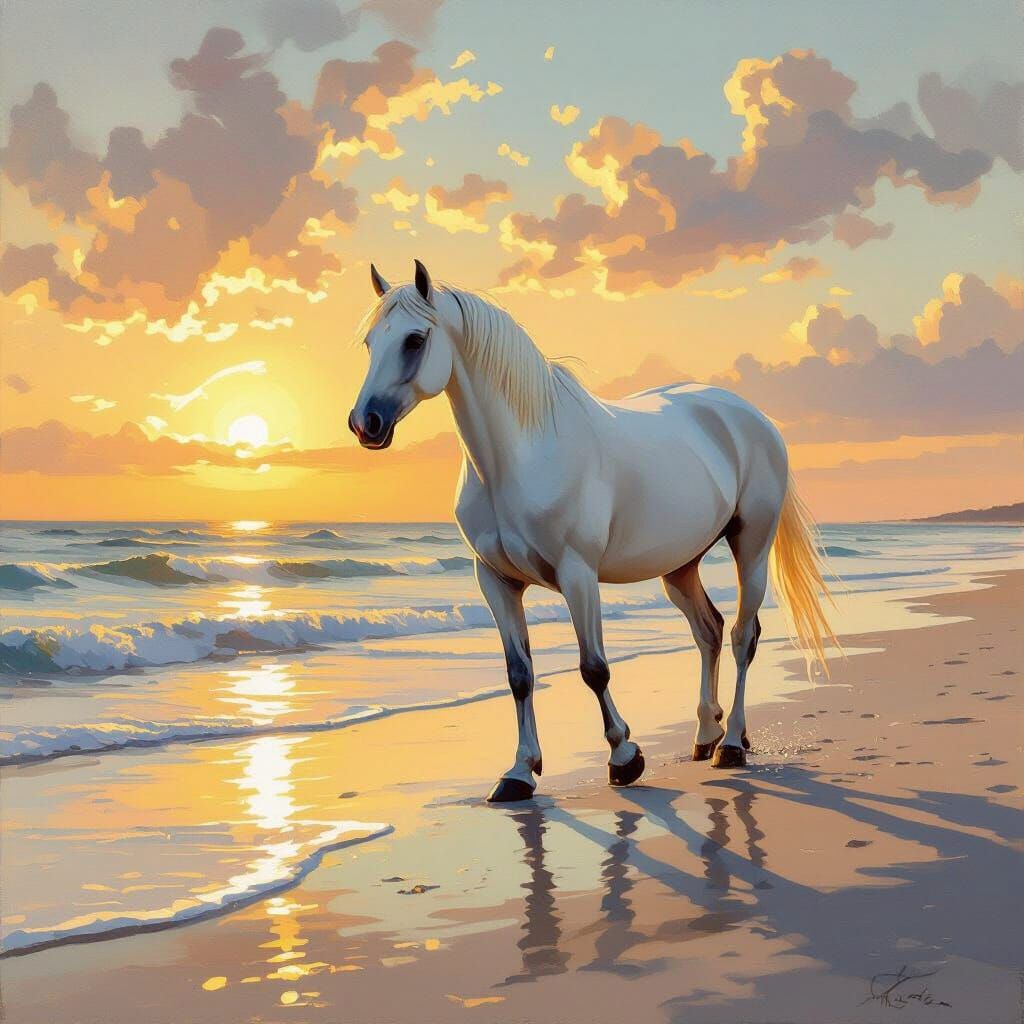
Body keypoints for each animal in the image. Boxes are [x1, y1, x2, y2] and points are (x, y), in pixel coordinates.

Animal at [349, 260, 836, 802]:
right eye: (370, 342)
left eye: (414, 340)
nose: (365, 423)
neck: (520, 456)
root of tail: (753, 417)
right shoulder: (495, 581)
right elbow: (519, 675)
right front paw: (519, 772)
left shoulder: (577, 574)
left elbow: (593, 667)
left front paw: (625, 758)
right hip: (679, 566)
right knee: (707, 632)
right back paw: (707, 735)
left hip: (750, 547)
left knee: (741, 637)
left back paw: (730, 744)